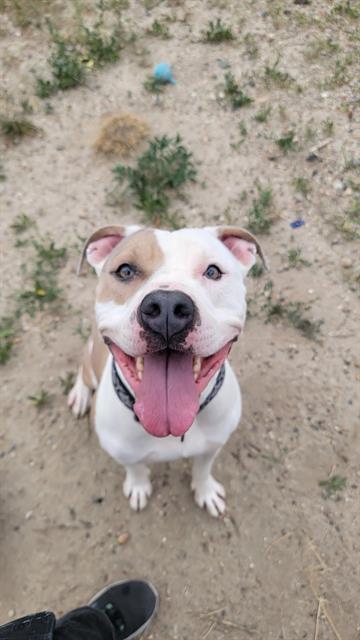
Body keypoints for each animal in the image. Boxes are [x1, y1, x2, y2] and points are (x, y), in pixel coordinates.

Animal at [68, 224, 264, 516]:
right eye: (125, 271)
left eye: (213, 272)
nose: (167, 307)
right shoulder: (123, 452)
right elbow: (135, 468)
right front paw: (138, 486)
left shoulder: (213, 446)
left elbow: (202, 469)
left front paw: (205, 491)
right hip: (91, 358)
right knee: (83, 368)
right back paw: (80, 394)